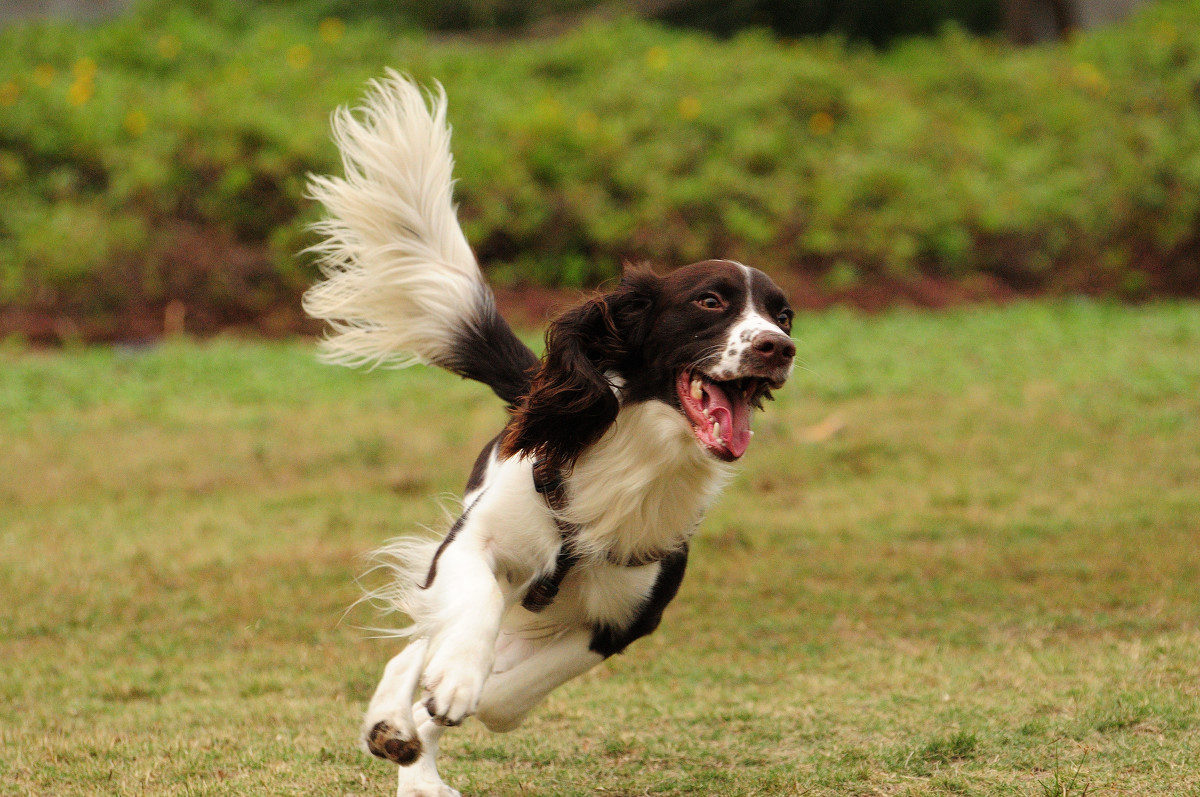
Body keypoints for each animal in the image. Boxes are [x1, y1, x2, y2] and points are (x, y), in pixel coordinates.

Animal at [304, 71, 796, 792]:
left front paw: (445, 703)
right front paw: (451, 682)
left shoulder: (627, 618)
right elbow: (470, 614)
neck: (632, 455)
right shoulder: (475, 540)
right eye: (710, 301)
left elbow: (505, 699)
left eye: (784, 315)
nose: (778, 348)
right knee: (425, 632)